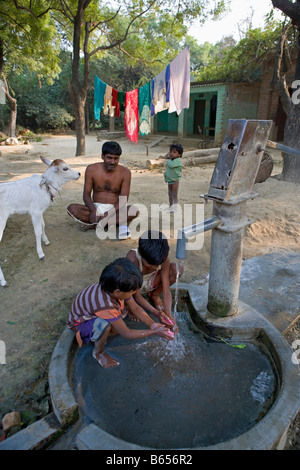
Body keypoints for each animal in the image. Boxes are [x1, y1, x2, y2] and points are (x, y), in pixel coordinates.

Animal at [0, 156, 81, 284]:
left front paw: (46, 241)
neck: (45, 187)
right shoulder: (35, 211)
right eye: (65, 168)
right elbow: (37, 231)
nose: (79, 173)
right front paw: (41, 253)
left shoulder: (40, 211)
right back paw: (3, 281)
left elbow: (43, 225)